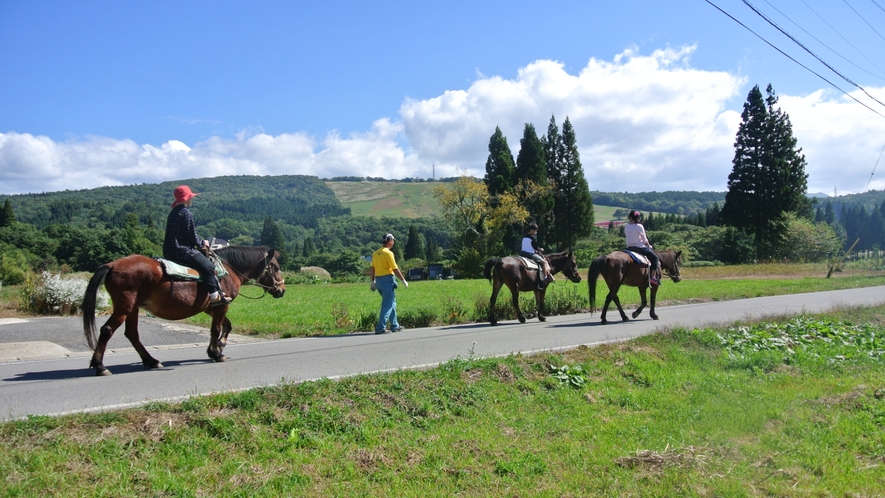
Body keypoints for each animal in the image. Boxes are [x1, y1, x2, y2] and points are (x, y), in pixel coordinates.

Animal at [81, 245, 284, 374]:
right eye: (275, 267)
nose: (282, 290)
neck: (227, 269)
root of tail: (112, 265)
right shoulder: (222, 305)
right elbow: (216, 328)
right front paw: (216, 352)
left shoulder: (211, 306)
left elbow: (226, 326)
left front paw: (218, 346)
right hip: (124, 308)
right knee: (107, 330)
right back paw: (100, 366)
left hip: (133, 309)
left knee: (132, 334)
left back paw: (151, 361)